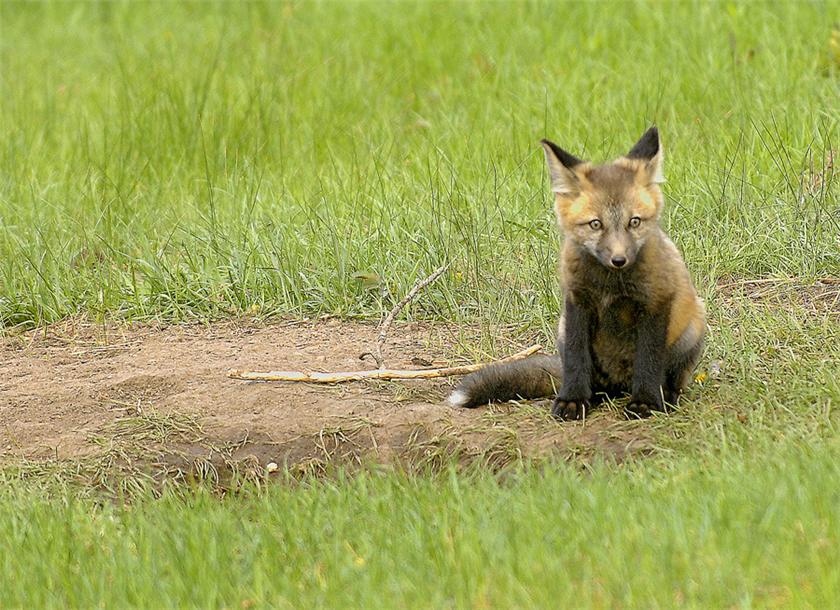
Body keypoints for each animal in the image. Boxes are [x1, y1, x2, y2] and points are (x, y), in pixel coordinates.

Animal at [448, 127, 705, 419]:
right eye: (595, 224)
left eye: (634, 222)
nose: (619, 260)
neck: (610, 284)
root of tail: (619, 384)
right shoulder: (576, 302)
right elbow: (575, 358)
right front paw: (573, 400)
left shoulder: (655, 303)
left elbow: (649, 360)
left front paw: (646, 402)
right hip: (562, 329)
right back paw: (595, 395)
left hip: (693, 327)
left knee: (671, 376)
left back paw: (667, 395)